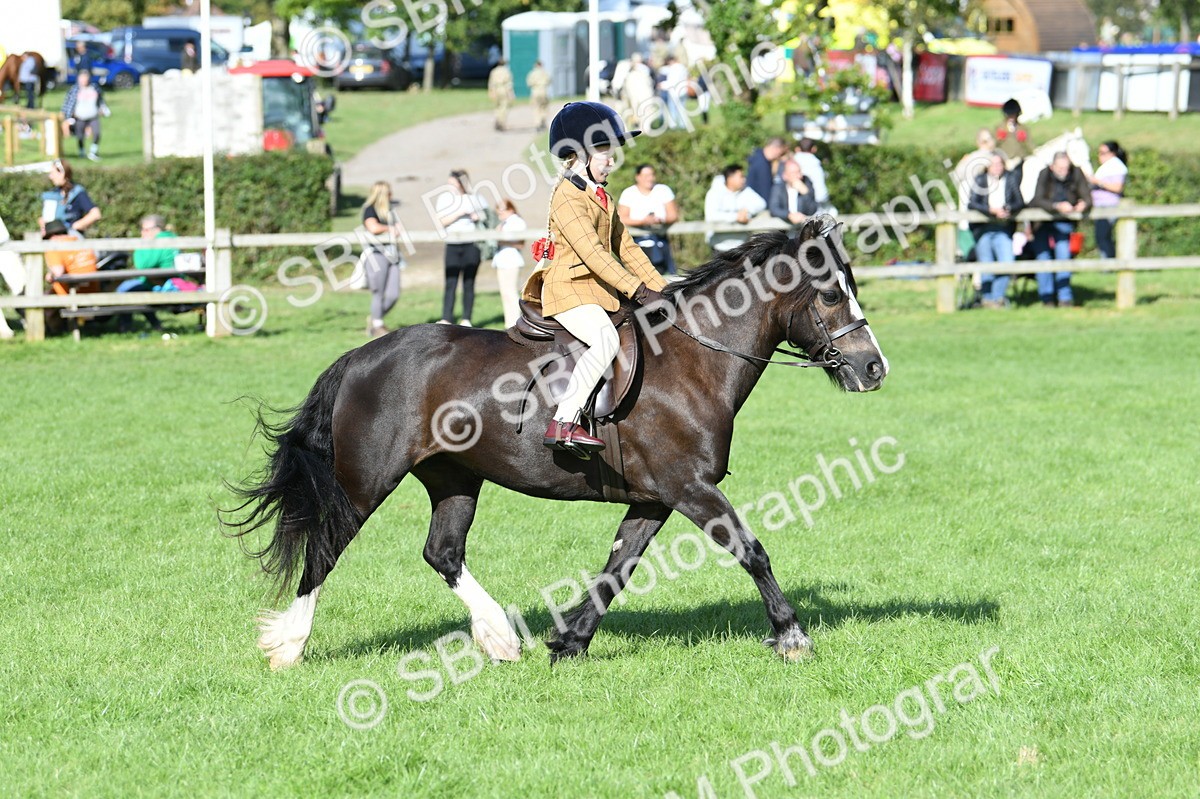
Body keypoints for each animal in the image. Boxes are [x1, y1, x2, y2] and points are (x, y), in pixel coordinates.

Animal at [223, 216, 889, 670]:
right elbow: (752, 552)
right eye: (832, 293)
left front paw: (569, 642)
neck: (692, 360)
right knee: (324, 549)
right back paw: (289, 645)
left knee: (442, 553)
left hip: (454, 478)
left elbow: (617, 568)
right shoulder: (689, 488)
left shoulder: (655, 497)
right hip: (364, 483)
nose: (874, 369)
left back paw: (498, 637)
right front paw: (791, 635)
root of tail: (362, 356)